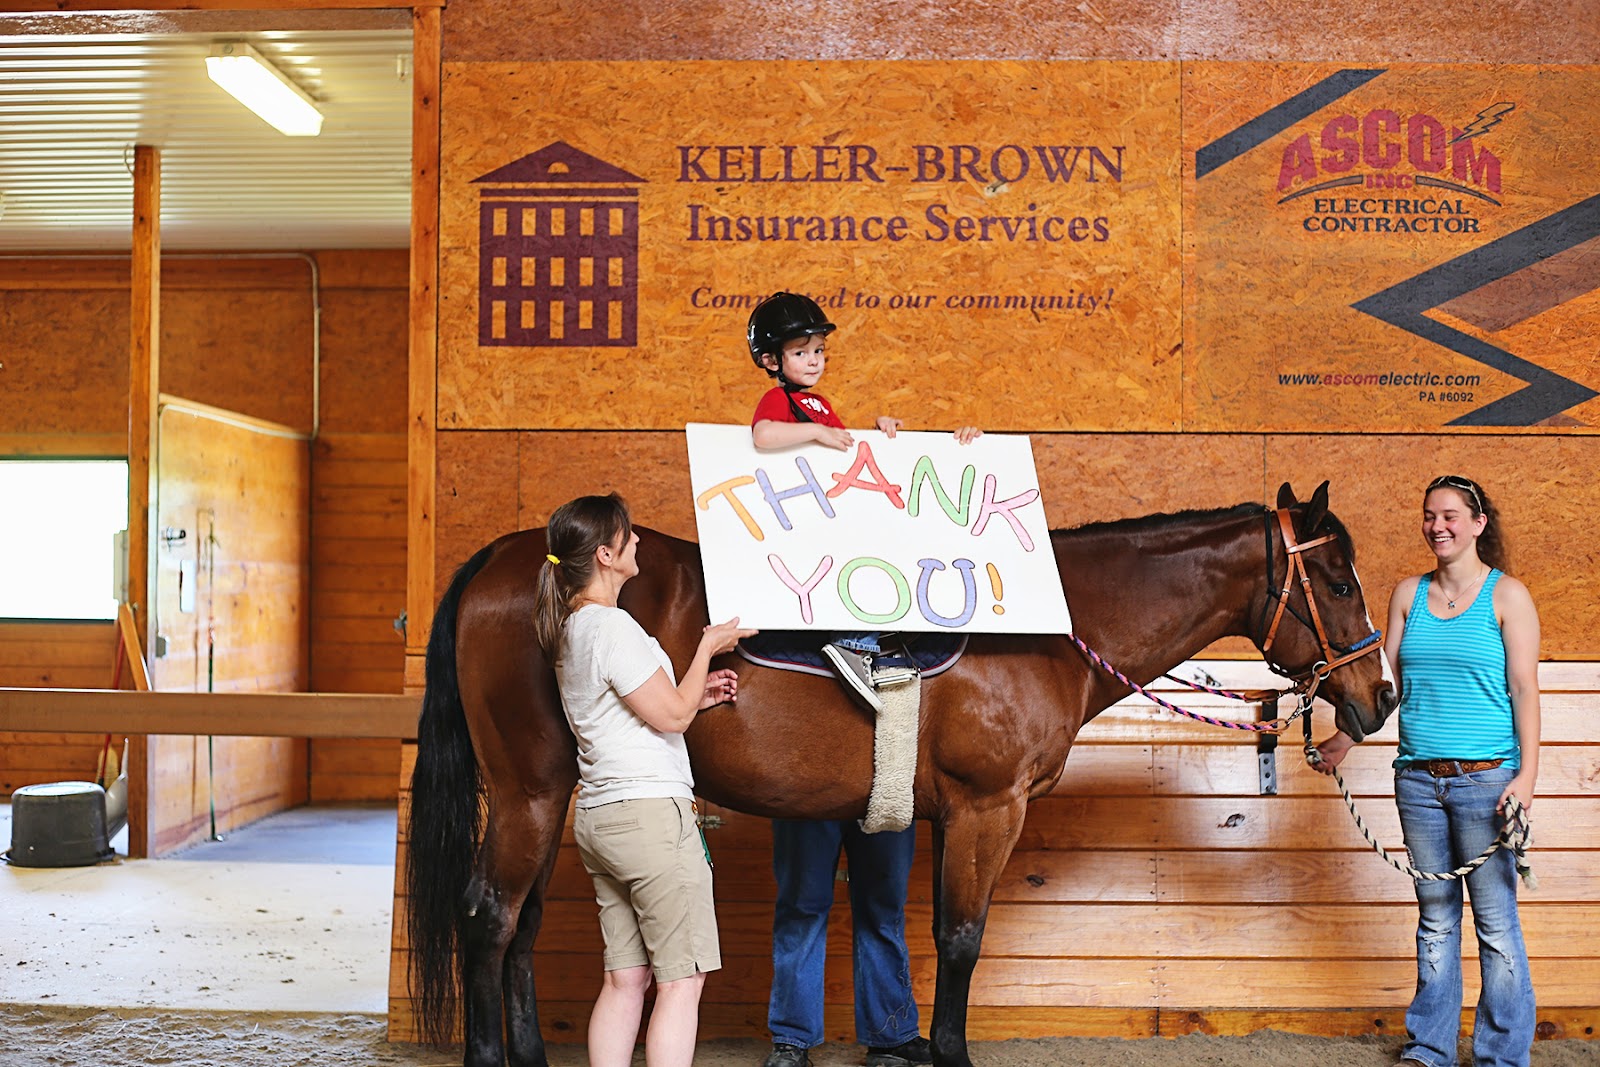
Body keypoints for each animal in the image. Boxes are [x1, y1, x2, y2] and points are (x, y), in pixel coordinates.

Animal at [406, 483, 1395, 1067]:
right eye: (1341, 580)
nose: (1379, 695)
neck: (1040, 627)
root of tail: (511, 559)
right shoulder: (987, 811)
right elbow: (960, 939)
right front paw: (951, 1053)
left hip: (549, 795)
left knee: (521, 925)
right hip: (531, 792)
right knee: (488, 917)